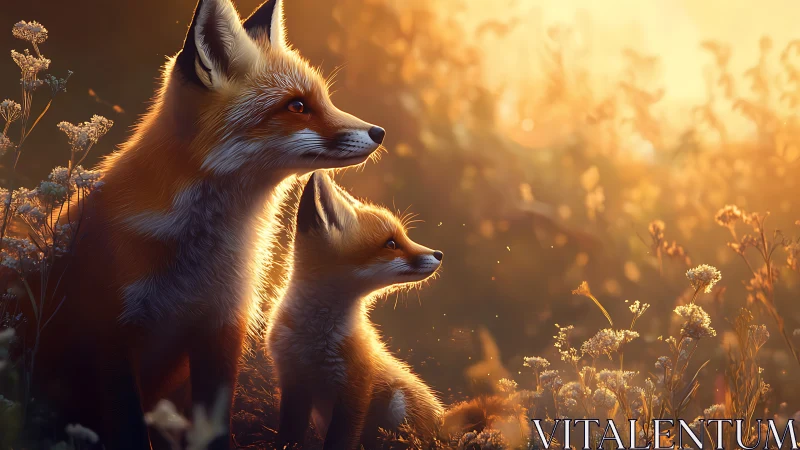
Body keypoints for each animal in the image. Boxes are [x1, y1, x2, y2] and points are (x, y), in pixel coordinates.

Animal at [28, 0, 385, 448]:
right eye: (297, 106)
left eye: (324, 99)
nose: (379, 131)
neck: (194, 269)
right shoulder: (110, 334)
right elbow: (129, 428)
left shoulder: (222, 328)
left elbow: (214, 426)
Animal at [267, 172, 445, 450]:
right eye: (391, 243)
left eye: (403, 238)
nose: (439, 254)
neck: (315, 341)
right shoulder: (293, 382)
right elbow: (288, 436)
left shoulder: (356, 389)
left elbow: (340, 440)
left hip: (399, 405)